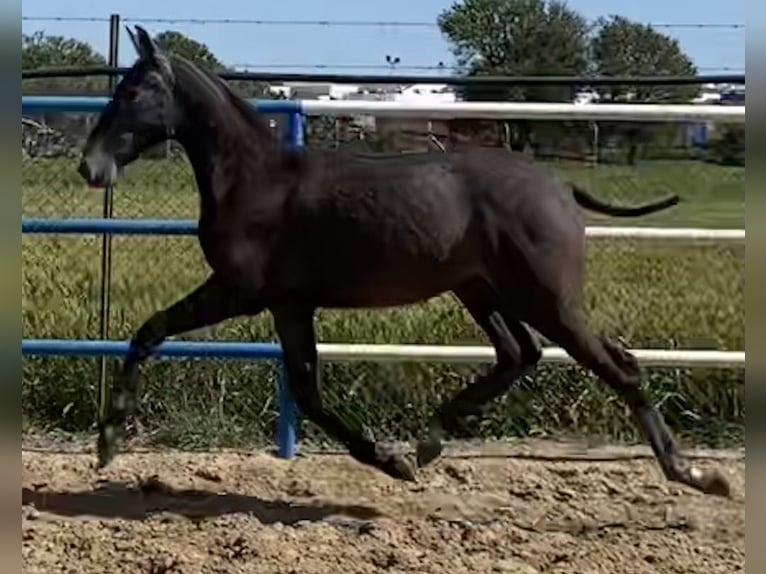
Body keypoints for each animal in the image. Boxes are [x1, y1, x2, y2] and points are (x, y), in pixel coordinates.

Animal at [78, 24, 732, 498]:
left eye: (132, 91)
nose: (90, 165)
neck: (255, 179)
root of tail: (559, 187)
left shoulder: (240, 292)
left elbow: (150, 331)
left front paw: (108, 441)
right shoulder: (289, 305)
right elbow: (305, 390)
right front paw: (395, 460)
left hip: (546, 297)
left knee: (616, 365)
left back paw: (697, 475)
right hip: (480, 290)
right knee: (518, 353)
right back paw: (431, 441)